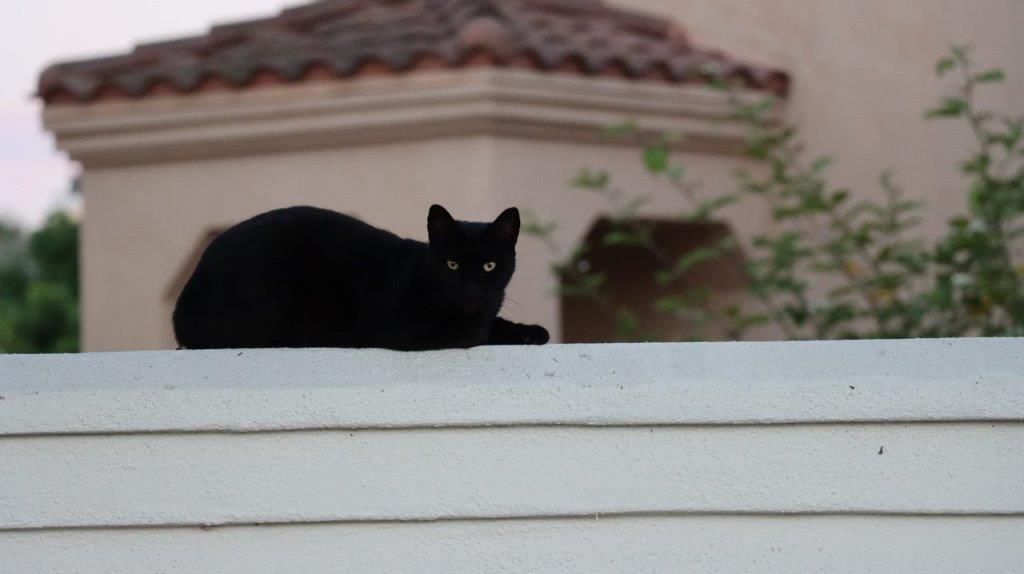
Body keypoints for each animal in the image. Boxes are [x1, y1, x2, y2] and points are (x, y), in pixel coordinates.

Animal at [174, 203, 552, 351]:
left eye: (489, 266)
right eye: (452, 265)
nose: (470, 289)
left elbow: (495, 324)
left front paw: (532, 332)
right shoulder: (410, 330)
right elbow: (476, 334)